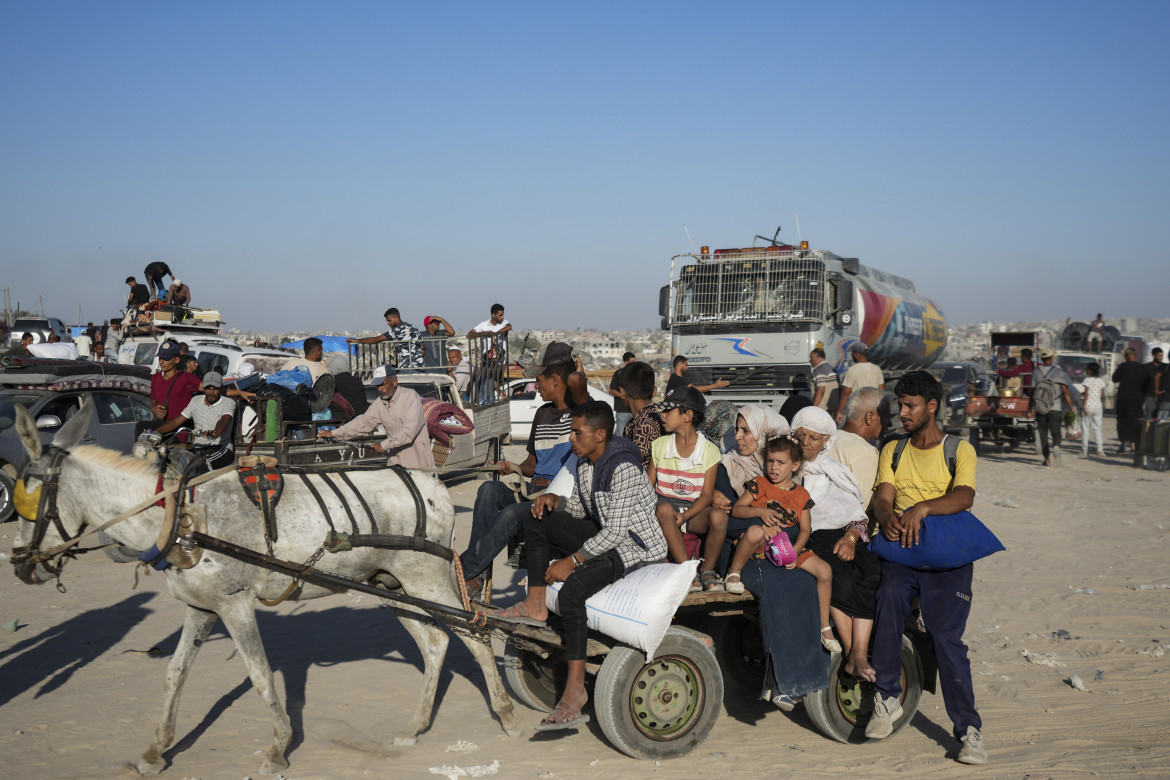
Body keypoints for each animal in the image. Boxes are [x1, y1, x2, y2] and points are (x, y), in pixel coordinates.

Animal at [4, 402, 517, 776]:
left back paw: (507, 713)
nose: (21, 566)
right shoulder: (201, 608)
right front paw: (155, 751)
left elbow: (259, 675)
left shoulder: (234, 606)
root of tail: (434, 484)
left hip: (428, 577)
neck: (180, 519)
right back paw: (415, 727)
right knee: (434, 643)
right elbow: (174, 674)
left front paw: (277, 748)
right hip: (392, 585)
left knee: (475, 633)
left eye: (31, 498)